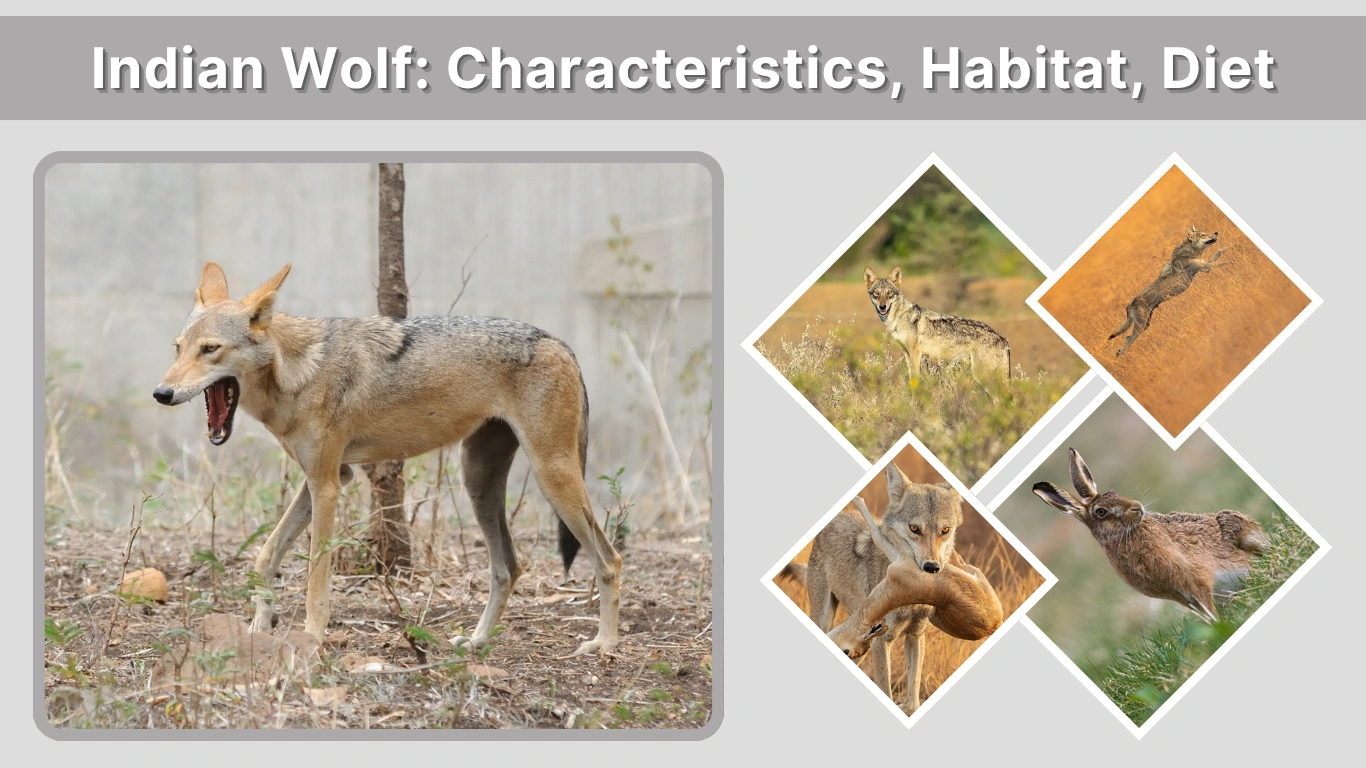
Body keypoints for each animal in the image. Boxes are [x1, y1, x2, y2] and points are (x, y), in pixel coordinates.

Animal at [153, 263, 622, 656]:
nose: (161, 392)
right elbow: (266, 555)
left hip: (552, 478)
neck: (299, 371)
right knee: (508, 567)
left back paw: (603, 644)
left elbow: (316, 581)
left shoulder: (327, 486)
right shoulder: (328, 478)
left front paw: (311, 638)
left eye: (210, 349)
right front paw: (258, 625)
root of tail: (560, 343)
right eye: (177, 349)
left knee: (610, 560)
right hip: (478, 483)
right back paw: (475, 642)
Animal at [781, 464, 965, 714]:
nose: (932, 567)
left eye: (945, 530)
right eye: (914, 528)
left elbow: (913, 701)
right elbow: (886, 690)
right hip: (825, 619)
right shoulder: (882, 641)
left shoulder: (915, 636)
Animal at [864, 265, 1010, 388]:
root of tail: (1003, 338)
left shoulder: (916, 353)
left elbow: (915, 381)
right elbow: (911, 380)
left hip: (982, 375)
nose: (882, 307)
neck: (898, 318)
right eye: (876, 293)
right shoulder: (907, 353)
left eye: (889, 293)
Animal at [1108, 224, 1227, 357]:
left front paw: (1227, 248)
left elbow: (1218, 253)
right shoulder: (1206, 268)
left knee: (1127, 338)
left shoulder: (1205, 265)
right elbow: (1220, 262)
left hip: (1146, 325)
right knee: (1128, 338)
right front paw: (1231, 260)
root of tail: (1130, 304)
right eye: (1203, 235)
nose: (1216, 232)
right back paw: (1121, 356)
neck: (1188, 254)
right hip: (1140, 326)